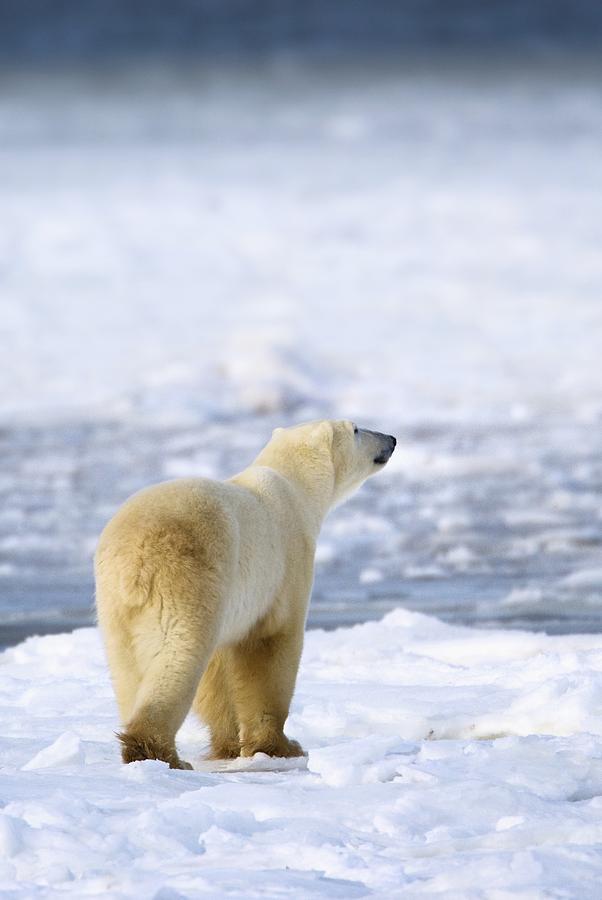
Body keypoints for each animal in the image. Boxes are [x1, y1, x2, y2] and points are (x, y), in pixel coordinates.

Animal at [95, 420, 394, 768]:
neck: (295, 487)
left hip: (114, 608)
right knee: (177, 656)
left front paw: (228, 745)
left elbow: (219, 670)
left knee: (127, 671)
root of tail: (134, 557)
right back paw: (159, 752)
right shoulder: (286, 564)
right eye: (357, 429)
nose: (391, 439)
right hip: (185, 578)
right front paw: (281, 746)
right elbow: (270, 647)